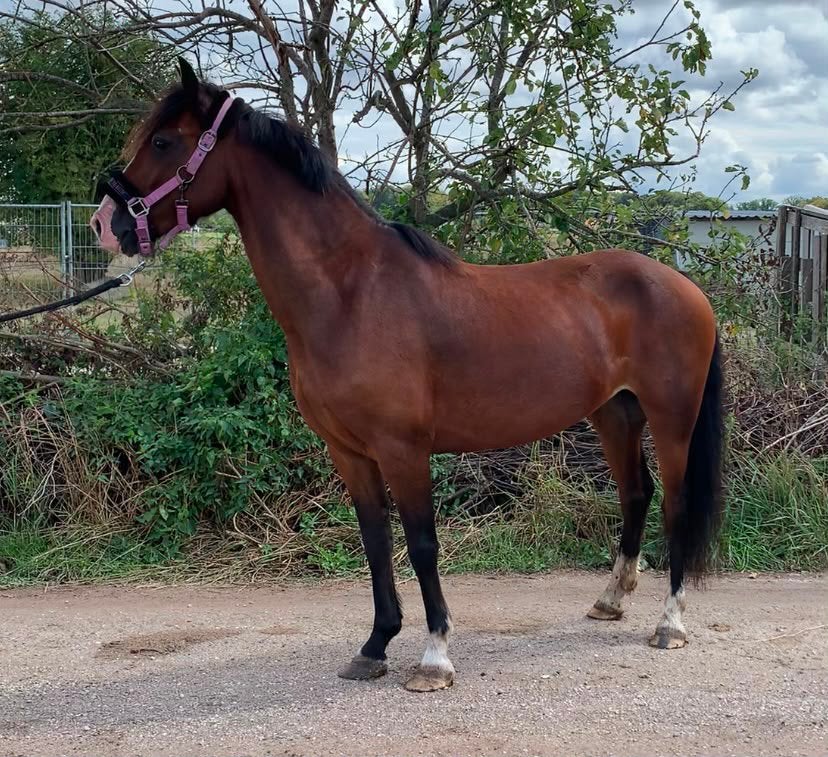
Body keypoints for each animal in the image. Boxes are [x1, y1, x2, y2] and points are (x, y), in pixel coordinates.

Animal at [90, 59, 723, 693]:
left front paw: (434, 657)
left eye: (164, 141)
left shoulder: (404, 450)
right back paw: (610, 601)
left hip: (671, 419)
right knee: (635, 493)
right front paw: (374, 646)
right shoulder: (350, 452)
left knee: (675, 503)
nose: (105, 223)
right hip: (613, 412)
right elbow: (375, 543)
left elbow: (421, 544)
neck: (351, 293)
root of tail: (685, 286)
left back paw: (670, 624)